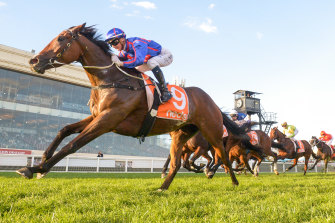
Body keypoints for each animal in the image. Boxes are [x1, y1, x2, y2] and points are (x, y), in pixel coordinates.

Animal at [16, 23, 247, 190]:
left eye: (61, 38)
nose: (34, 61)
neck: (111, 79)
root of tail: (212, 101)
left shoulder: (108, 119)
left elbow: (73, 144)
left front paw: (36, 168)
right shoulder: (97, 116)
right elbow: (64, 129)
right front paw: (42, 160)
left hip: (211, 131)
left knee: (223, 156)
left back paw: (232, 181)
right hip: (181, 134)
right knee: (176, 163)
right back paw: (162, 188)